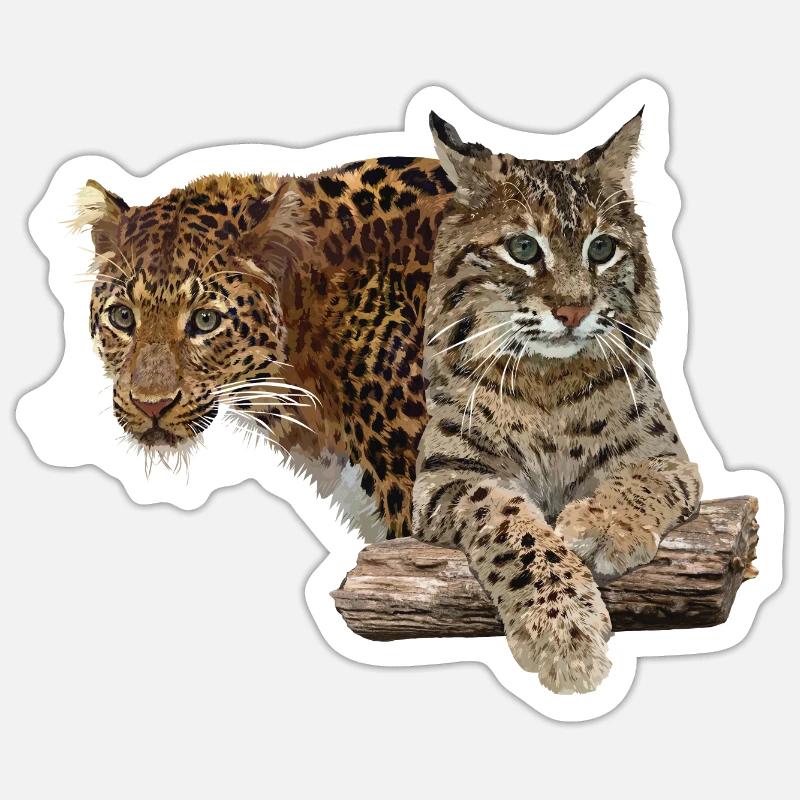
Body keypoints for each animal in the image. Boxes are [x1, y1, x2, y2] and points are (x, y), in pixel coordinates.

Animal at [412, 111, 701, 693]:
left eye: (601, 250)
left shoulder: (669, 459)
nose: (573, 311)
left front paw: (605, 525)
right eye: (524, 249)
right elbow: (510, 521)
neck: (549, 378)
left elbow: (641, 479)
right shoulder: (443, 478)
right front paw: (563, 632)